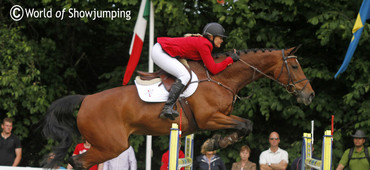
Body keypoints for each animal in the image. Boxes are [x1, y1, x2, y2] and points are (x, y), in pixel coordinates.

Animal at [43, 46, 316, 169]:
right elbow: (244, 125)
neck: (220, 78)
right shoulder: (209, 118)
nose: (310, 95)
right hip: (112, 145)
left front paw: (214, 143)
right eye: (294, 67)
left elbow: (244, 125)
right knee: (79, 161)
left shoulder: (221, 116)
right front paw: (215, 143)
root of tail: (86, 99)